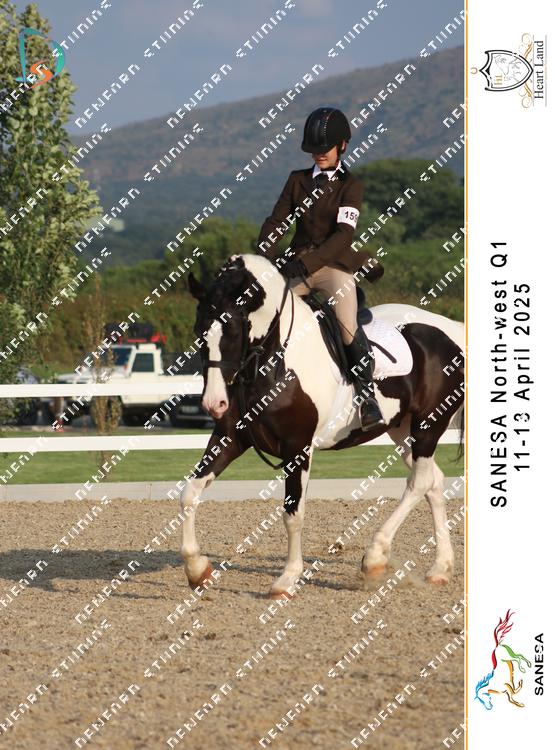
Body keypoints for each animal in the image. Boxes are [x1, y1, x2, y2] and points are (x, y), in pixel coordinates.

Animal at [182, 253, 464, 599]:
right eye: (199, 332)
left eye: (234, 331)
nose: (214, 403)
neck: (275, 362)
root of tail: (449, 329)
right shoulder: (231, 438)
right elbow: (190, 492)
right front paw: (197, 568)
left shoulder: (297, 448)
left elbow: (293, 514)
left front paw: (287, 579)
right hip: (402, 429)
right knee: (433, 482)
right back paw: (440, 569)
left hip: (429, 423)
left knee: (420, 482)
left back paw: (375, 558)